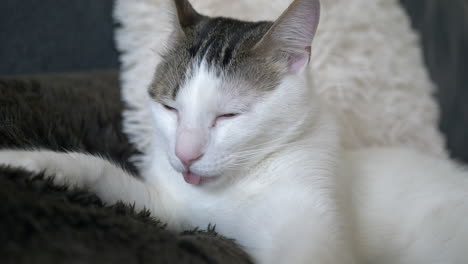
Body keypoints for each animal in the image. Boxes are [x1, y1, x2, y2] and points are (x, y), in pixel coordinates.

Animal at [0, 0, 468, 262]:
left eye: (228, 116)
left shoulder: (313, 223)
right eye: (170, 108)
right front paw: (30, 163)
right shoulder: (171, 209)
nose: (185, 154)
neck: (233, 188)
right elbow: (108, 180)